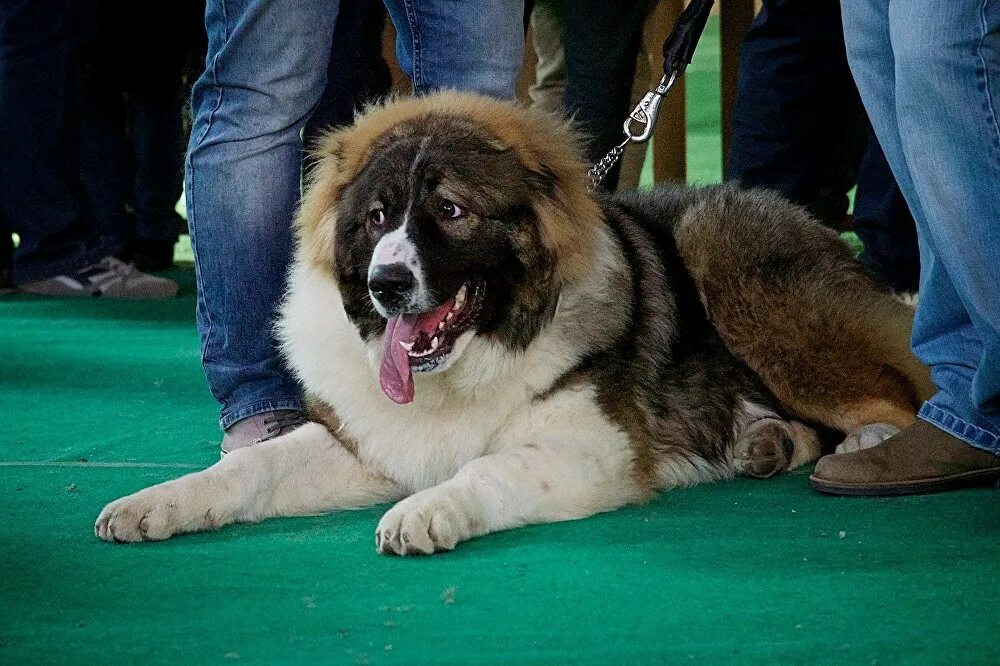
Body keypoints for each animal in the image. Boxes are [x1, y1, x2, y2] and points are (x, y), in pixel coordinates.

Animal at [94, 91, 928, 552]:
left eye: (450, 210)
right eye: (375, 218)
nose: (387, 284)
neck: (468, 362)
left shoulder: (591, 447)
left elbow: (488, 467)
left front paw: (427, 511)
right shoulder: (366, 439)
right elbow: (254, 466)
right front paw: (153, 504)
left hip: (721, 249)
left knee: (899, 392)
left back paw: (871, 447)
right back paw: (767, 442)